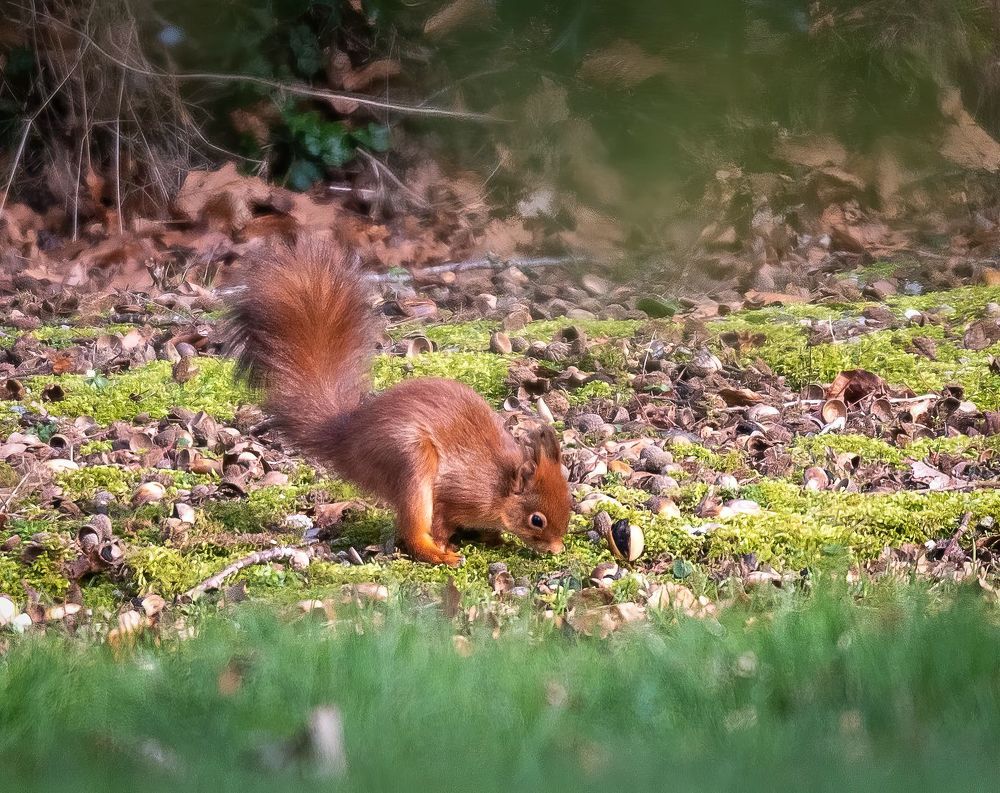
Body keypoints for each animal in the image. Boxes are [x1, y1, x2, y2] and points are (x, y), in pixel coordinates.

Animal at [227, 239, 572, 566]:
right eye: (537, 520)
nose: (556, 549)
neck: (498, 484)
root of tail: (347, 441)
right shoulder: (456, 495)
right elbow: (442, 520)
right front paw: (447, 544)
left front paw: (494, 538)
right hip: (409, 460)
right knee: (412, 528)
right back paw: (434, 553)